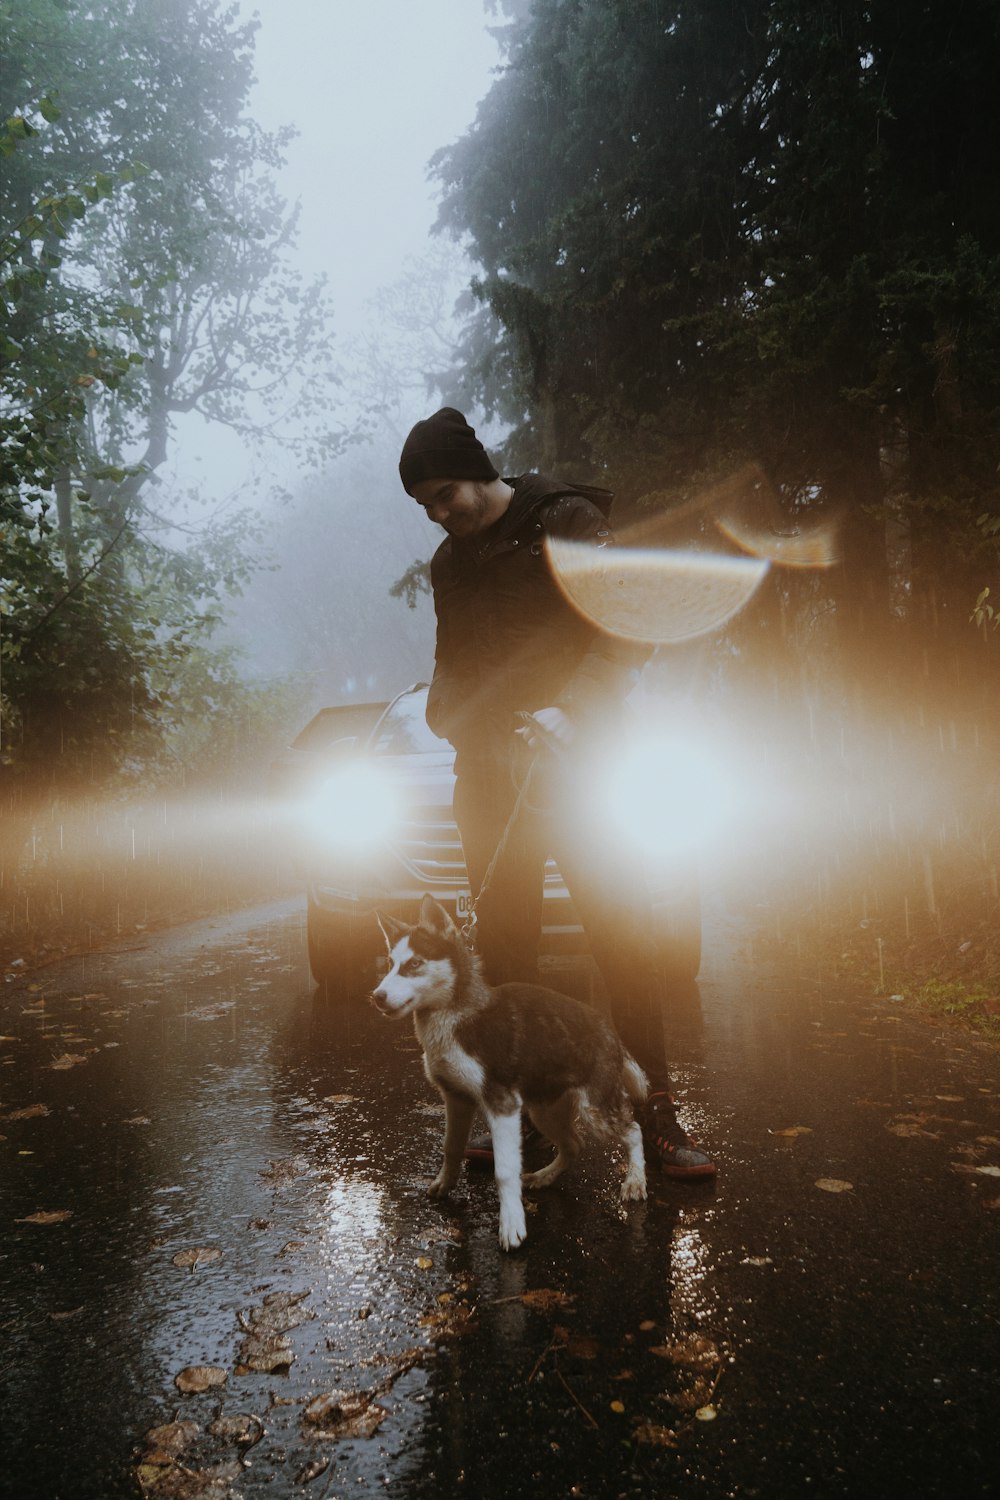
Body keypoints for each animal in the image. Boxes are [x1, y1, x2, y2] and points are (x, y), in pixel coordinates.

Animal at [370, 894, 650, 1248]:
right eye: (390, 963)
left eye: (415, 964)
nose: (376, 997)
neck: (456, 1016)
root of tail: (608, 1031)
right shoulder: (456, 1098)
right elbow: (451, 1147)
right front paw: (445, 1183)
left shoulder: (501, 1105)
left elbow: (504, 1171)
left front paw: (511, 1223)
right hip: (544, 1111)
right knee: (574, 1144)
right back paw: (545, 1176)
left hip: (595, 1111)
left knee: (633, 1130)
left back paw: (635, 1179)